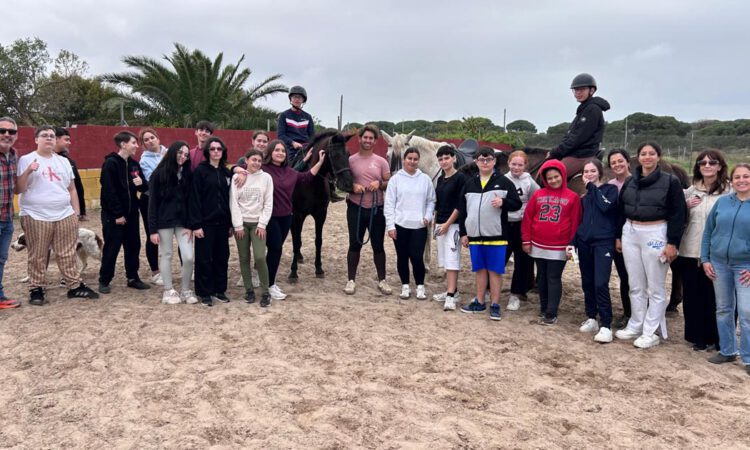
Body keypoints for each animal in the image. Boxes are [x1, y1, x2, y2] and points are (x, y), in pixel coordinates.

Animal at [289, 130, 355, 281]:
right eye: (335, 155)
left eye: (348, 154)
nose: (348, 184)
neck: (311, 180)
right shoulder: (298, 215)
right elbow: (296, 240)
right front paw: (293, 272)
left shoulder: (321, 214)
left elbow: (318, 241)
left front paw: (319, 269)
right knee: (294, 234)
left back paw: (299, 256)